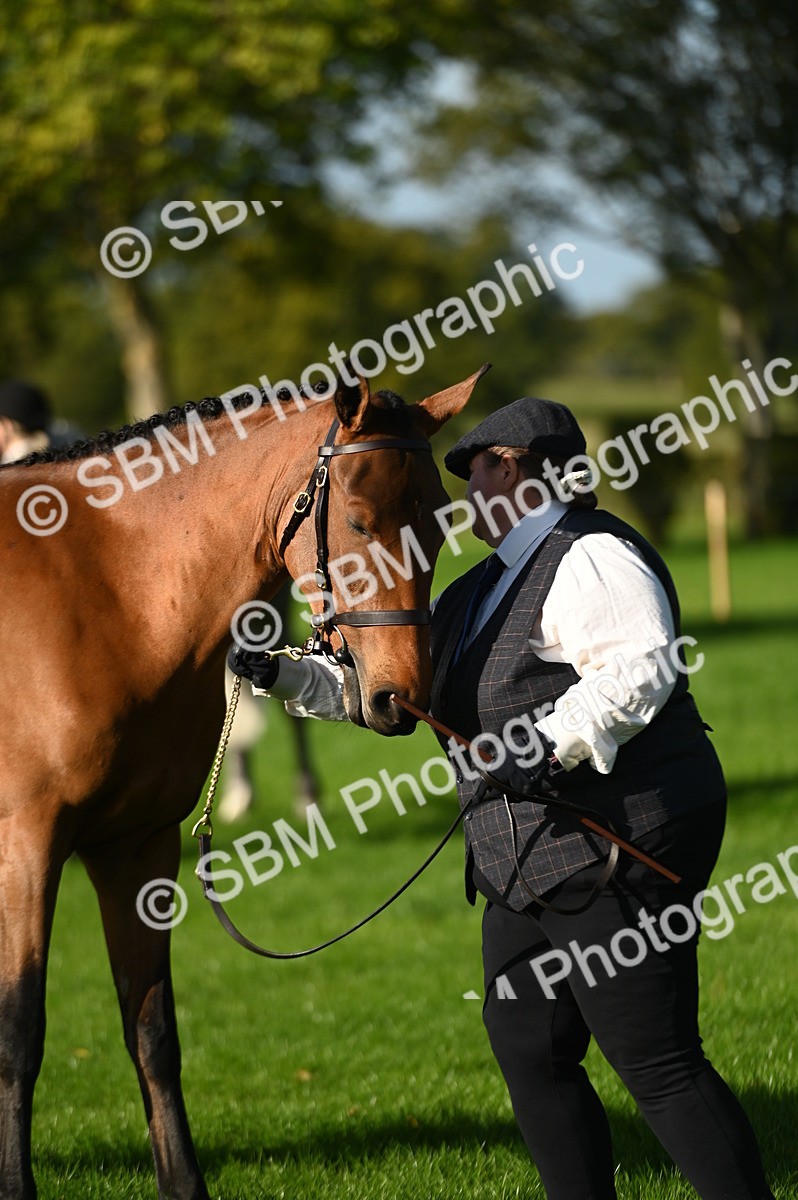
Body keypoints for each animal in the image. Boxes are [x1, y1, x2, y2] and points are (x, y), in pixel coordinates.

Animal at [0, 365, 484, 1200]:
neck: (106, 594)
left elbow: (151, 1029)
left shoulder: (138, 847)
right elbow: (21, 1034)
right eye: (358, 521)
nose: (400, 698)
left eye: (439, 528)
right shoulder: (25, 850)